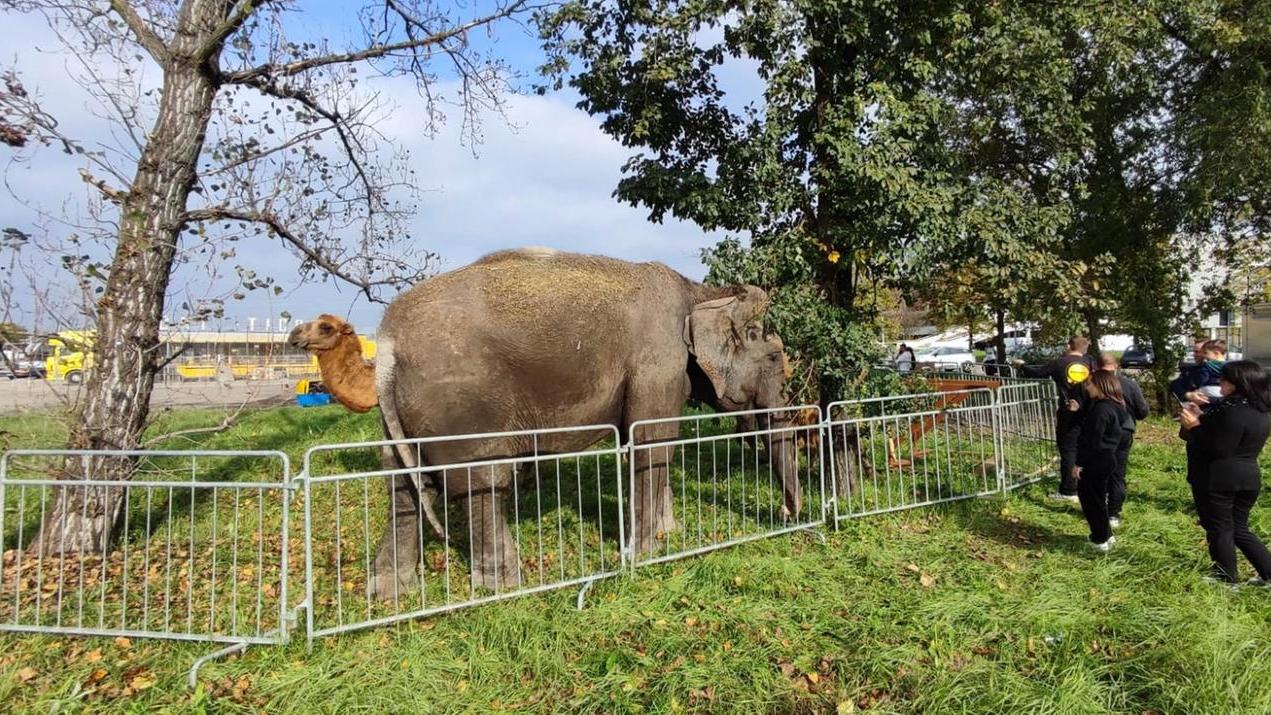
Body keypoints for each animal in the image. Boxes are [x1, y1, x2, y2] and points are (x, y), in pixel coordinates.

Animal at [370, 248, 799, 596]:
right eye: (774, 357)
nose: (786, 514)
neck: (701, 291)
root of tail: (389, 340)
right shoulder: (657, 359)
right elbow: (651, 442)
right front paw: (648, 553)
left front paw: (669, 534)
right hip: (464, 404)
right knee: (485, 481)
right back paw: (506, 584)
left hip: (406, 414)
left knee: (404, 484)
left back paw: (391, 593)